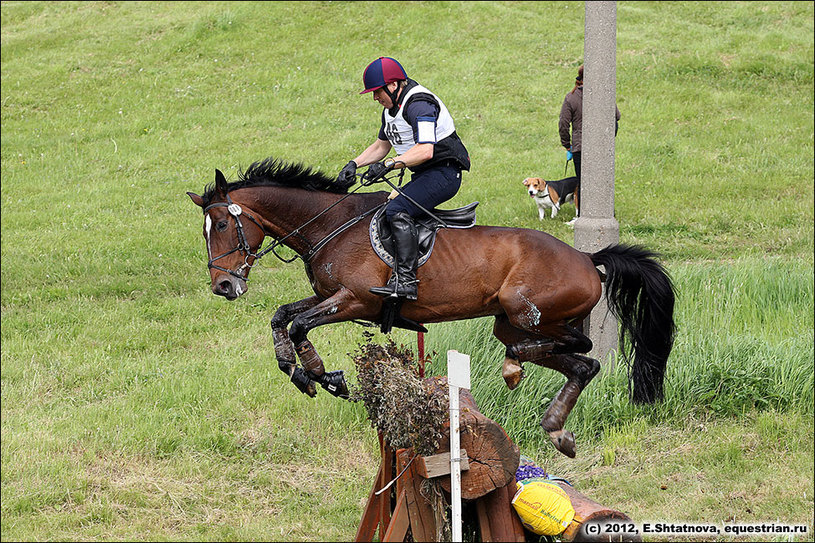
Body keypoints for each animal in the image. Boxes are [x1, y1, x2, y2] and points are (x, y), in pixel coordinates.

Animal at [190, 157, 676, 460]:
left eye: (224, 224)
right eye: (206, 230)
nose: (224, 286)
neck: (330, 225)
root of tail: (588, 259)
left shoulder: (356, 299)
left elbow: (300, 326)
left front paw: (321, 374)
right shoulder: (330, 295)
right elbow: (283, 317)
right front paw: (301, 373)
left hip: (525, 312)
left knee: (579, 346)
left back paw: (514, 368)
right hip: (511, 323)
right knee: (582, 365)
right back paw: (556, 428)